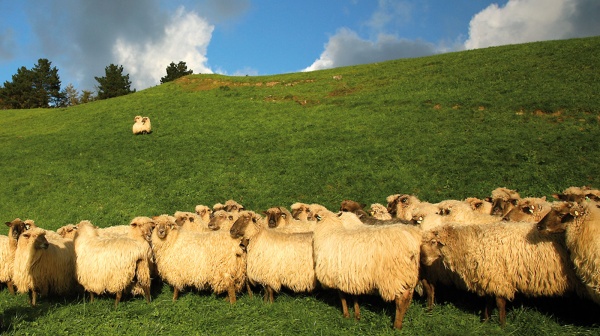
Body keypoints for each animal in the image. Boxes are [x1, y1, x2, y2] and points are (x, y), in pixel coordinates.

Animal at [420, 220, 584, 326]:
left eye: (434, 242)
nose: (423, 260)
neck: (469, 243)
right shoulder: (487, 276)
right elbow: (488, 300)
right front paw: (485, 321)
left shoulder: (498, 277)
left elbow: (499, 303)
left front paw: (502, 325)